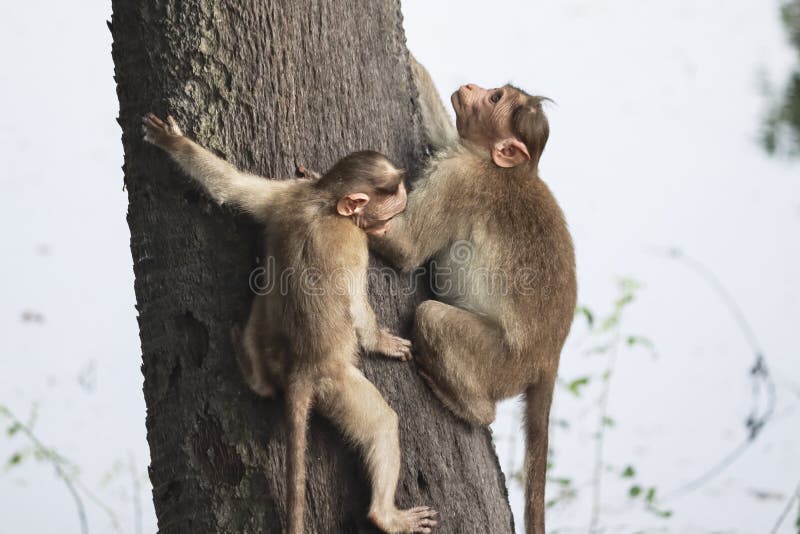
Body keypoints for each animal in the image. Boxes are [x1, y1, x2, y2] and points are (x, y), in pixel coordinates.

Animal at [142, 115, 438, 534]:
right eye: (387, 214)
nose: (383, 230)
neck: (326, 203)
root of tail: (302, 367)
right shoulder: (353, 241)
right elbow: (356, 305)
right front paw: (380, 341)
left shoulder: (288, 193)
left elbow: (232, 187)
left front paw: (173, 142)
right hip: (334, 383)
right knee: (382, 423)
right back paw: (385, 515)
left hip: (274, 345)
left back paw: (251, 368)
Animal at [368, 58, 576, 534]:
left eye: (495, 98)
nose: (472, 86)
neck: (508, 169)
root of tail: (549, 357)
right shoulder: (461, 153)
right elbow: (442, 130)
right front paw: (414, 62)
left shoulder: (460, 178)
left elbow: (407, 248)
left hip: (501, 362)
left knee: (432, 317)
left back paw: (472, 409)